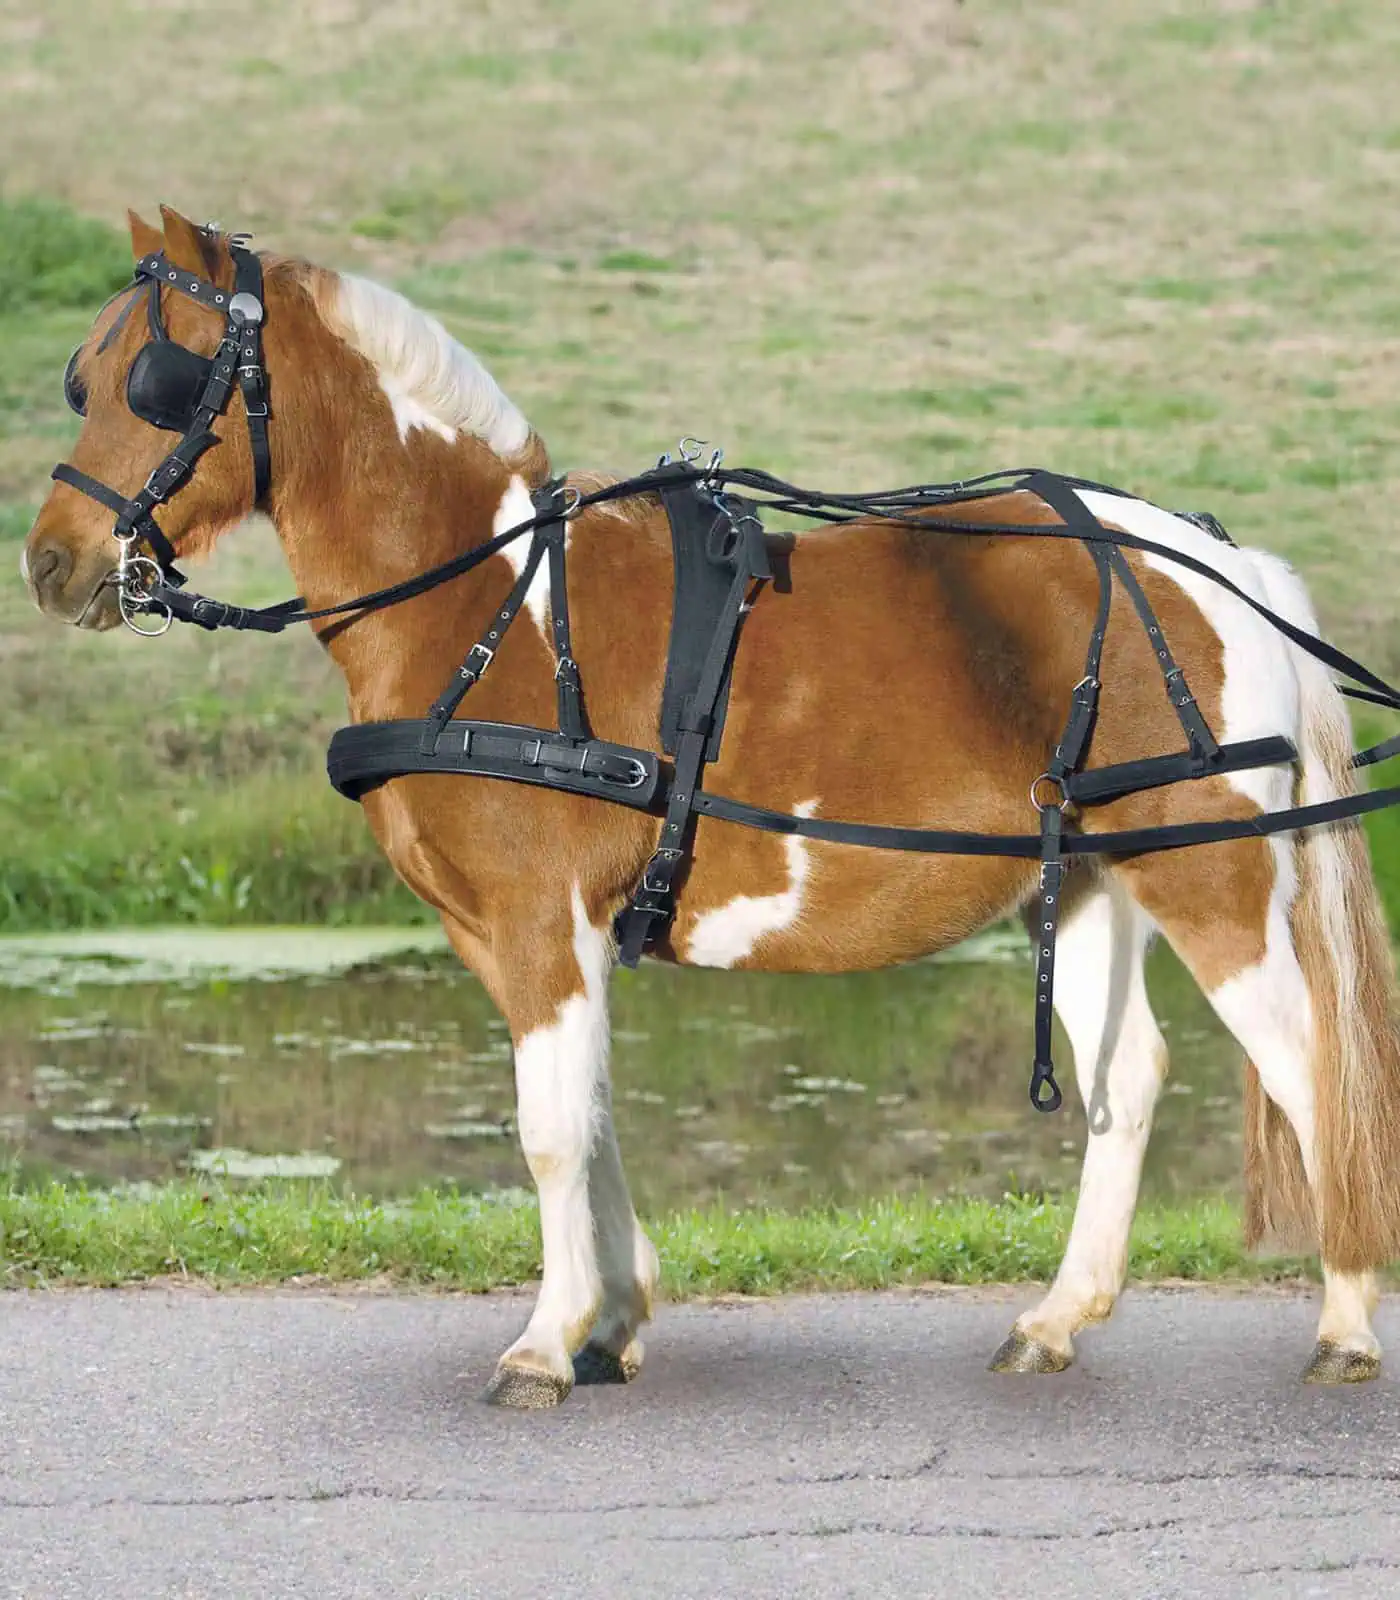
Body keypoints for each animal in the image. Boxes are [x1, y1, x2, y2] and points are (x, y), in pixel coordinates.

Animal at [22, 206, 1400, 1406]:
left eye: (160, 378)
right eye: (82, 380)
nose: (51, 563)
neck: (486, 605)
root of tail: (1219, 561)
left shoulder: (537, 920)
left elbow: (545, 1130)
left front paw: (541, 1341)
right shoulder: (528, 935)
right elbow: (586, 1111)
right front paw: (609, 1320)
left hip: (1209, 876)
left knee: (1308, 1061)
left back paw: (1341, 1319)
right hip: (1098, 876)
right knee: (1132, 1076)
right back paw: (1055, 1320)